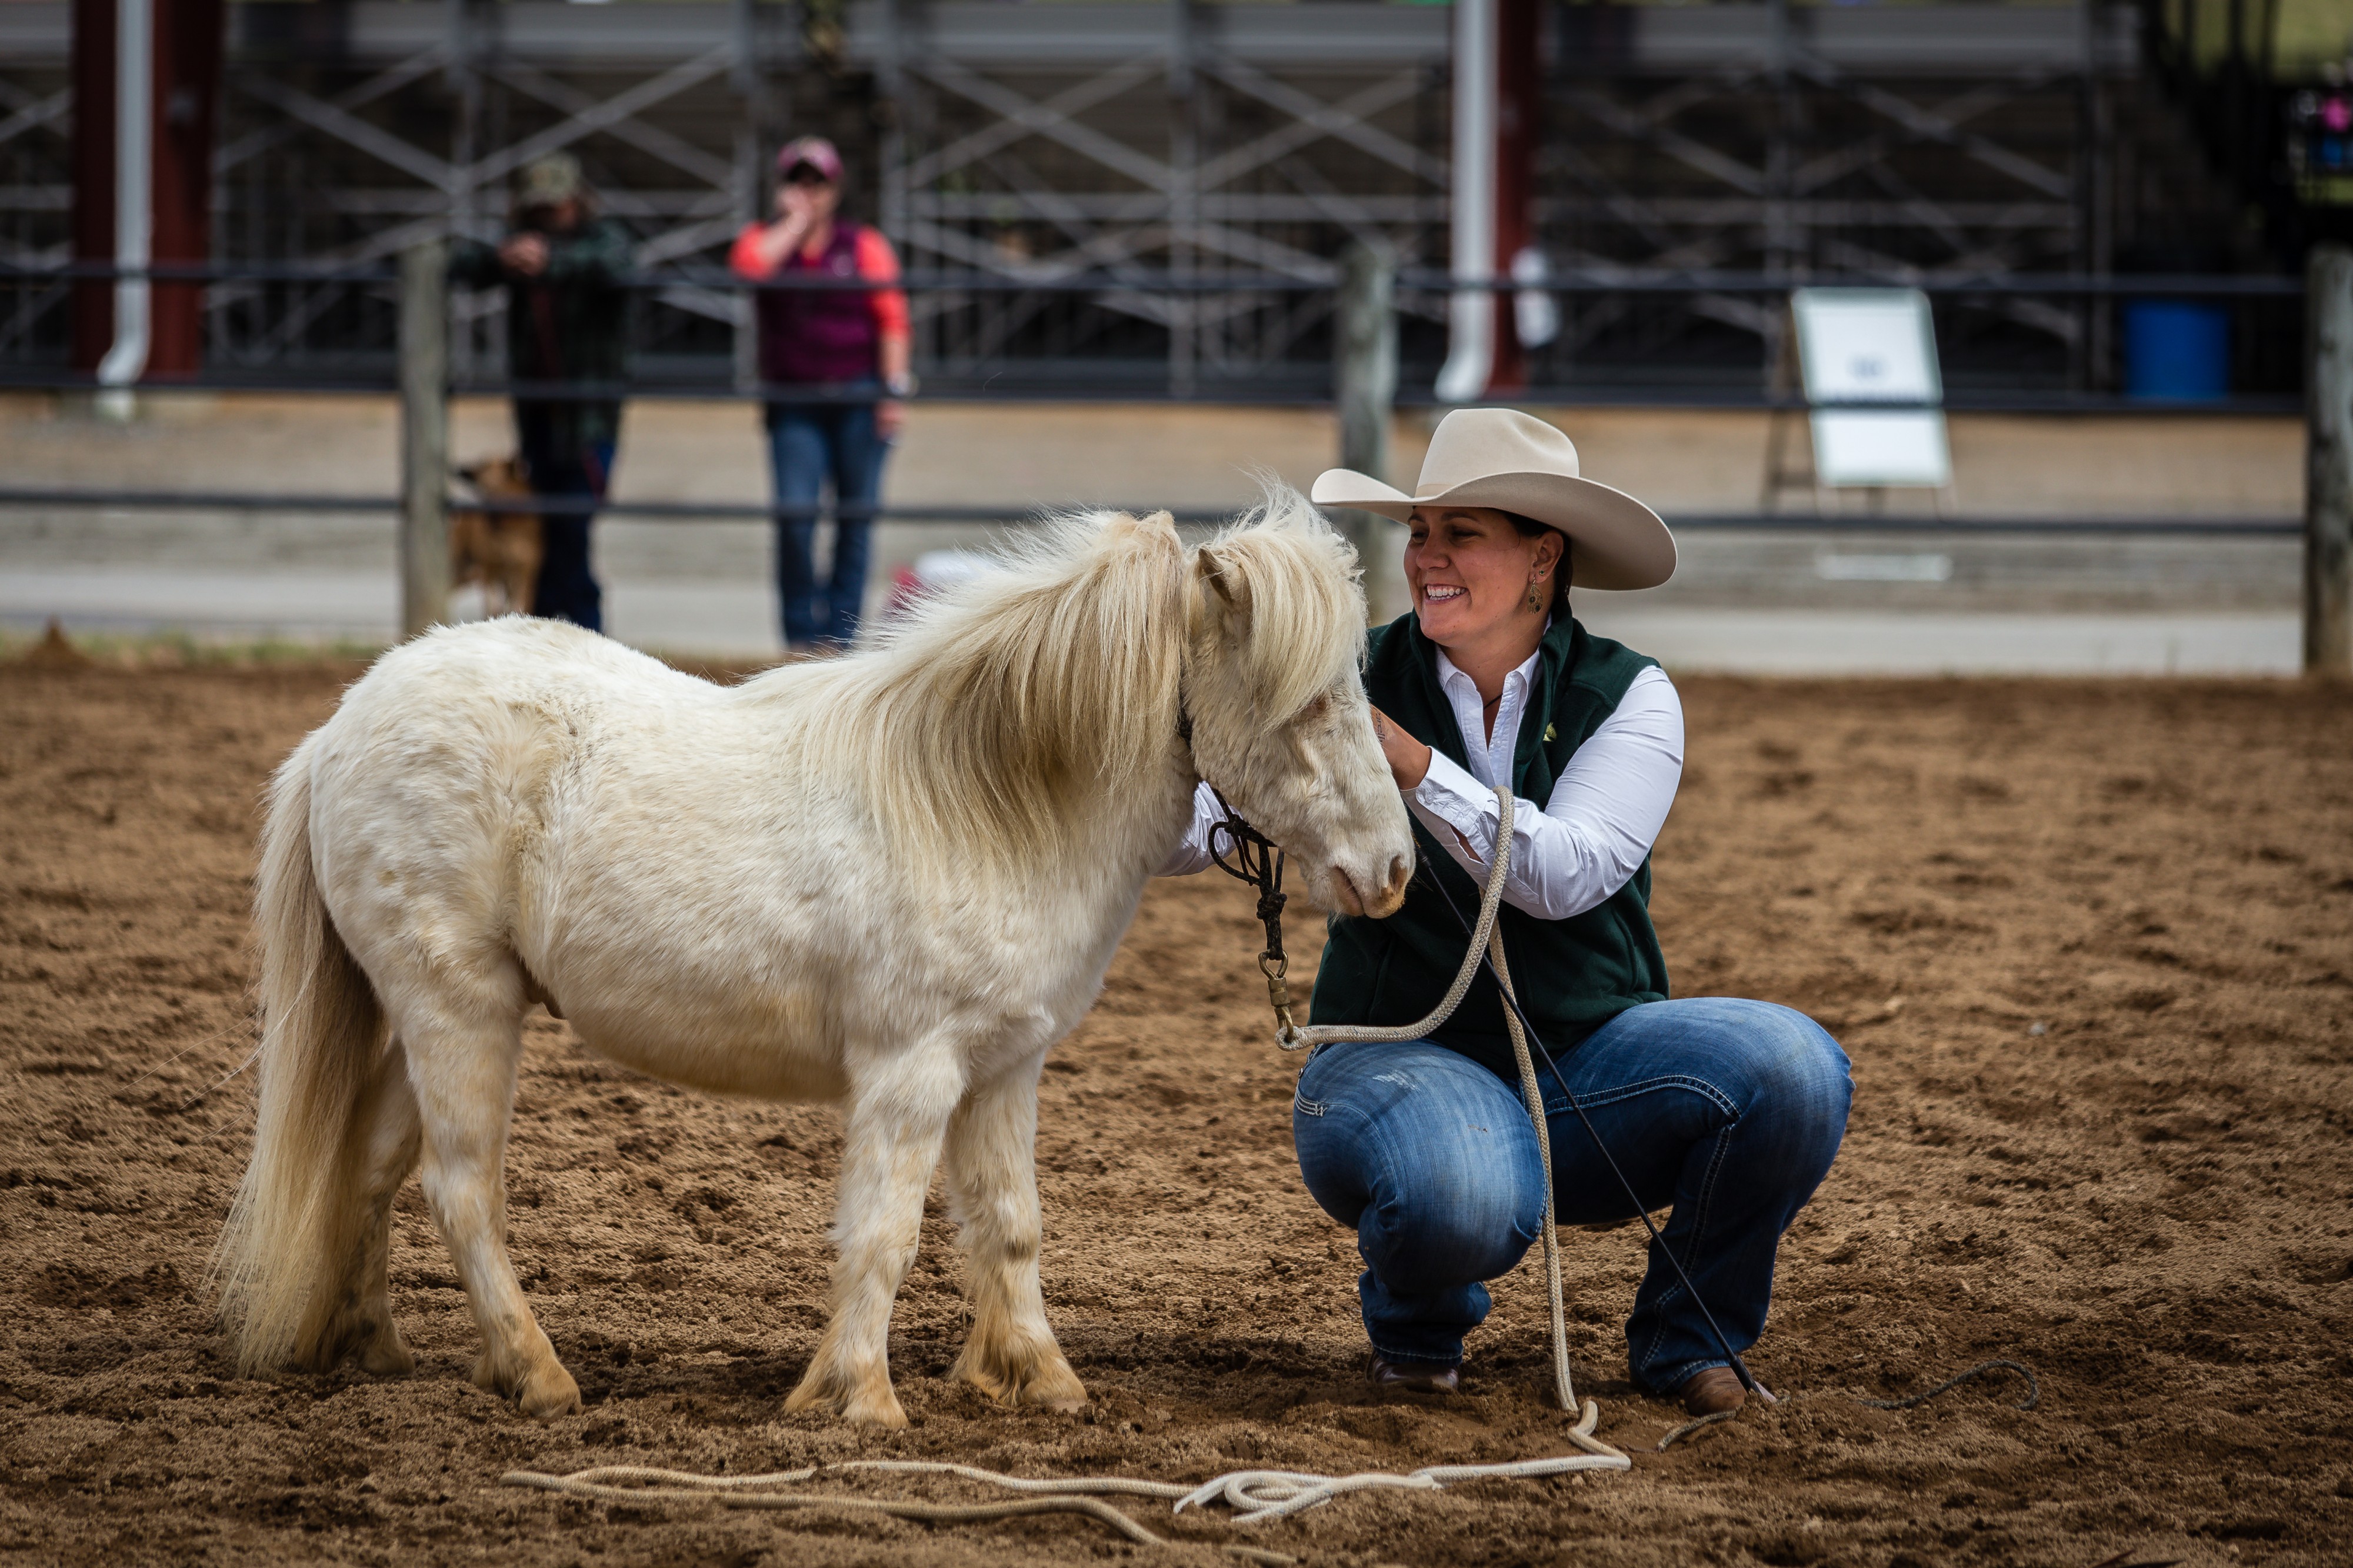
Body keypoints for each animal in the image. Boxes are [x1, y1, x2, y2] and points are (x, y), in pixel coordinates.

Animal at [213, 494, 1415, 1428]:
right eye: (1312, 701)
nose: (1394, 867)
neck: (985, 806)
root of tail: (341, 725)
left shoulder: (1004, 1069)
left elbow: (1010, 1225)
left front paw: (1044, 1384)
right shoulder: (910, 1072)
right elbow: (882, 1234)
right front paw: (860, 1402)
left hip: (427, 1019)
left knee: (370, 1163)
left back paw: (374, 1347)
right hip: (458, 1011)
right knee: (460, 1187)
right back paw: (537, 1374)